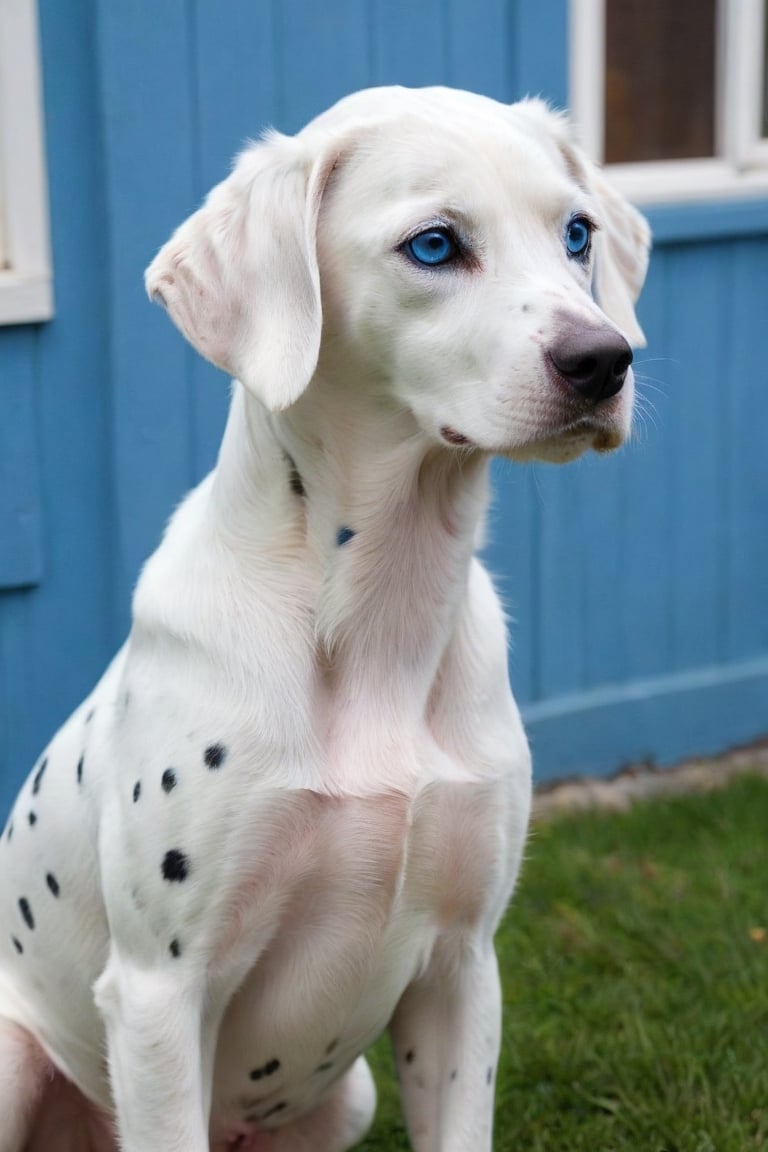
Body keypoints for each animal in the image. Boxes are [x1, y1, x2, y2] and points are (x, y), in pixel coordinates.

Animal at [0, 85, 649, 1147]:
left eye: (578, 233)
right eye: (434, 244)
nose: (606, 360)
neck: (378, 615)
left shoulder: (463, 970)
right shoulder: (157, 997)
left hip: (350, 1097)